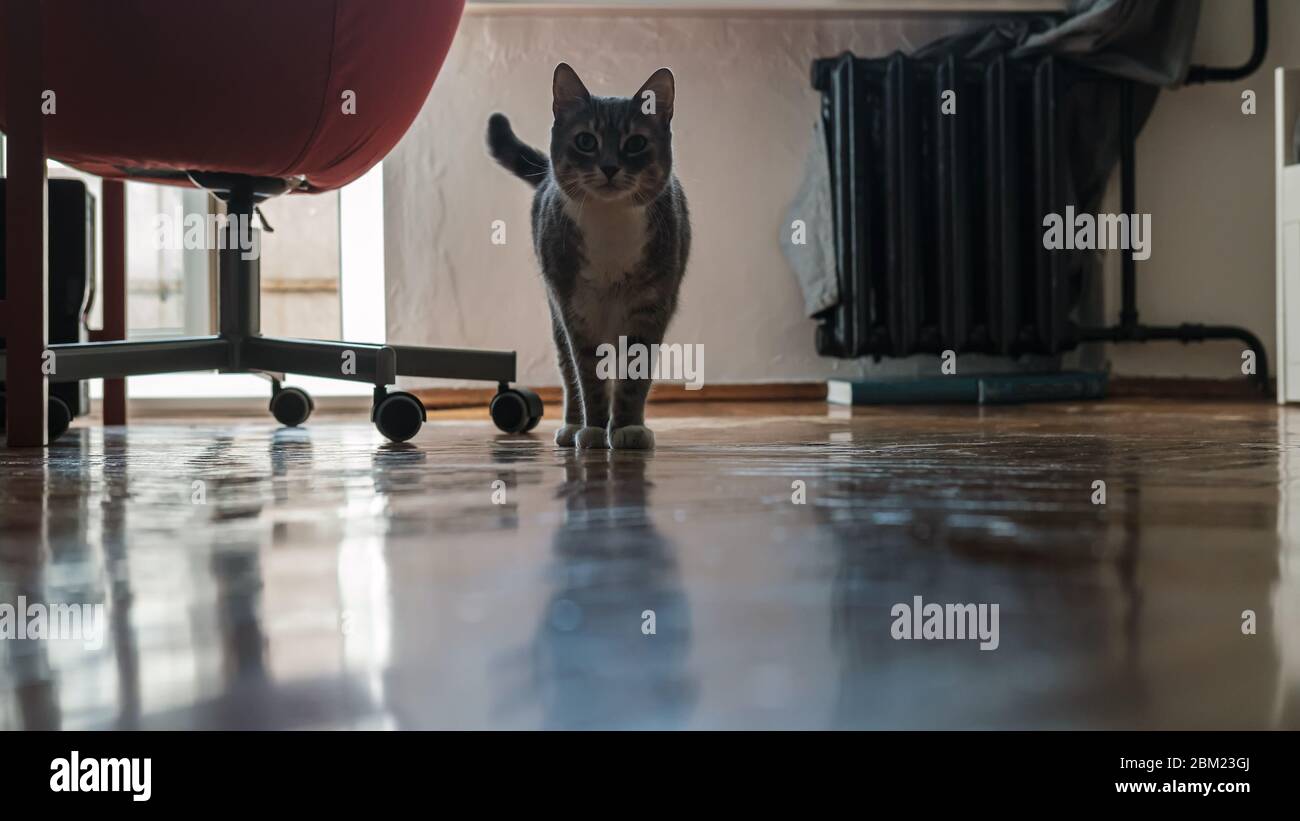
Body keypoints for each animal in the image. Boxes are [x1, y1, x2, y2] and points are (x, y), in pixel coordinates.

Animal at [488, 63, 691, 449]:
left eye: (635, 143)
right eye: (586, 141)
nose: (610, 167)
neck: (609, 223)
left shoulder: (651, 306)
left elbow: (633, 377)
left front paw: (627, 427)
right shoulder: (575, 308)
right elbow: (588, 375)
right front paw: (595, 429)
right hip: (556, 313)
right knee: (569, 372)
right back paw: (572, 425)